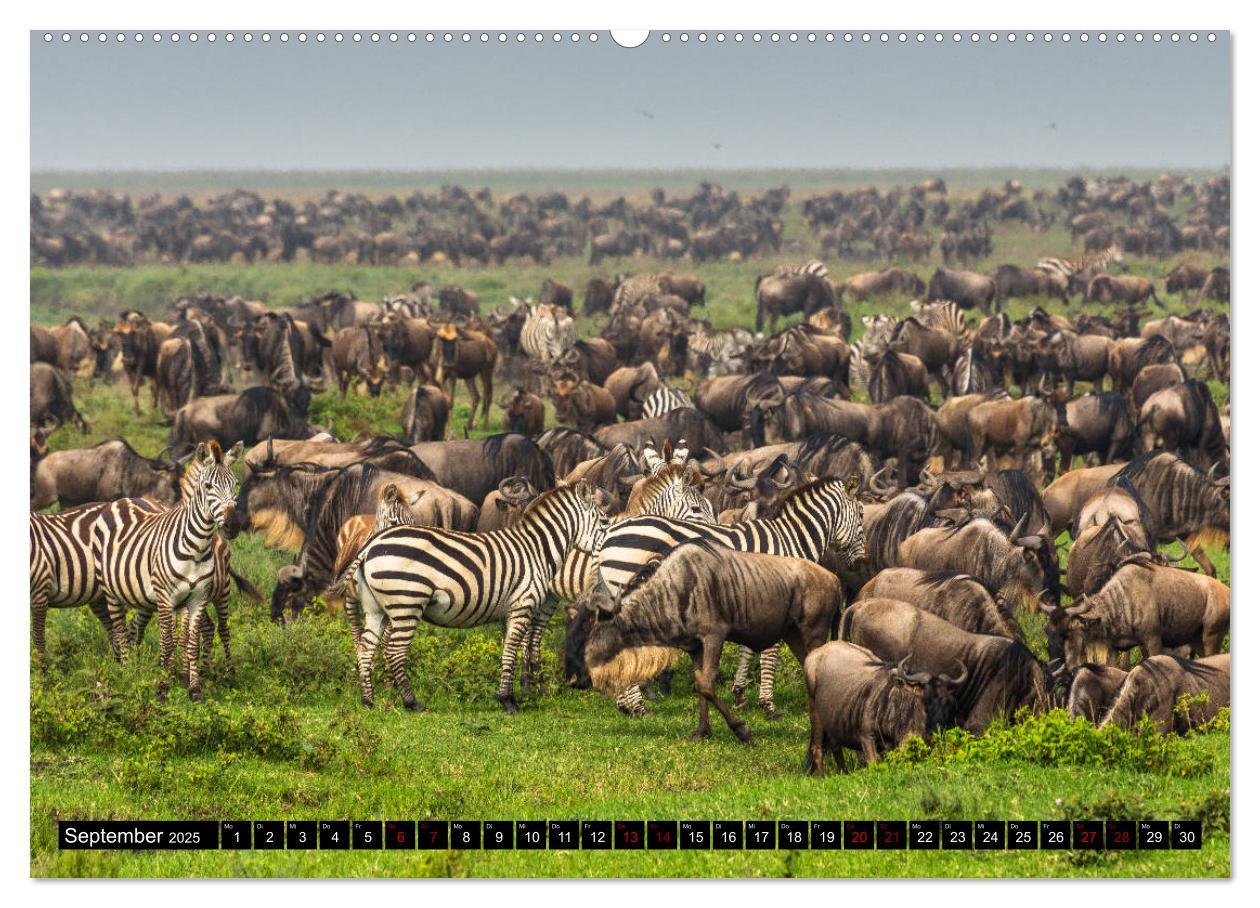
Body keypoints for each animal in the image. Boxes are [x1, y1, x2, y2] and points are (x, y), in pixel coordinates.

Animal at [91, 438, 240, 695]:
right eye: (208, 486)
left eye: (236, 485)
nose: (232, 525)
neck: (197, 547)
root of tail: (122, 500)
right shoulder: (166, 598)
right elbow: (168, 642)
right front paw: (164, 686)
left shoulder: (197, 598)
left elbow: (190, 642)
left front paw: (194, 688)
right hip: (111, 591)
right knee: (120, 630)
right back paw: (127, 671)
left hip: (219, 591)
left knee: (221, 629)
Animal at [335, 478, 609, 710]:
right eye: (605, 522)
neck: (536, 549)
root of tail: (371, 544)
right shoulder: (523, 605)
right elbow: (512, 650)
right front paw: (509, 701)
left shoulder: (509, 611)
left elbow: (509, 652)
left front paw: (508, 694)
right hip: (406, 604)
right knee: (394, 650)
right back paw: (411, 702)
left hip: (376, 609)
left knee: (366, 647)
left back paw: (368, 700)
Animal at [589, 473, 866, 715]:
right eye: (862, 514)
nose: (862, 562)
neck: (791, 539)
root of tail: (611, 533)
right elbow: (770, 652)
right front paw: (768, 704)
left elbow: (748, 648)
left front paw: (740, 695)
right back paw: (636, 706)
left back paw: (626, 704)